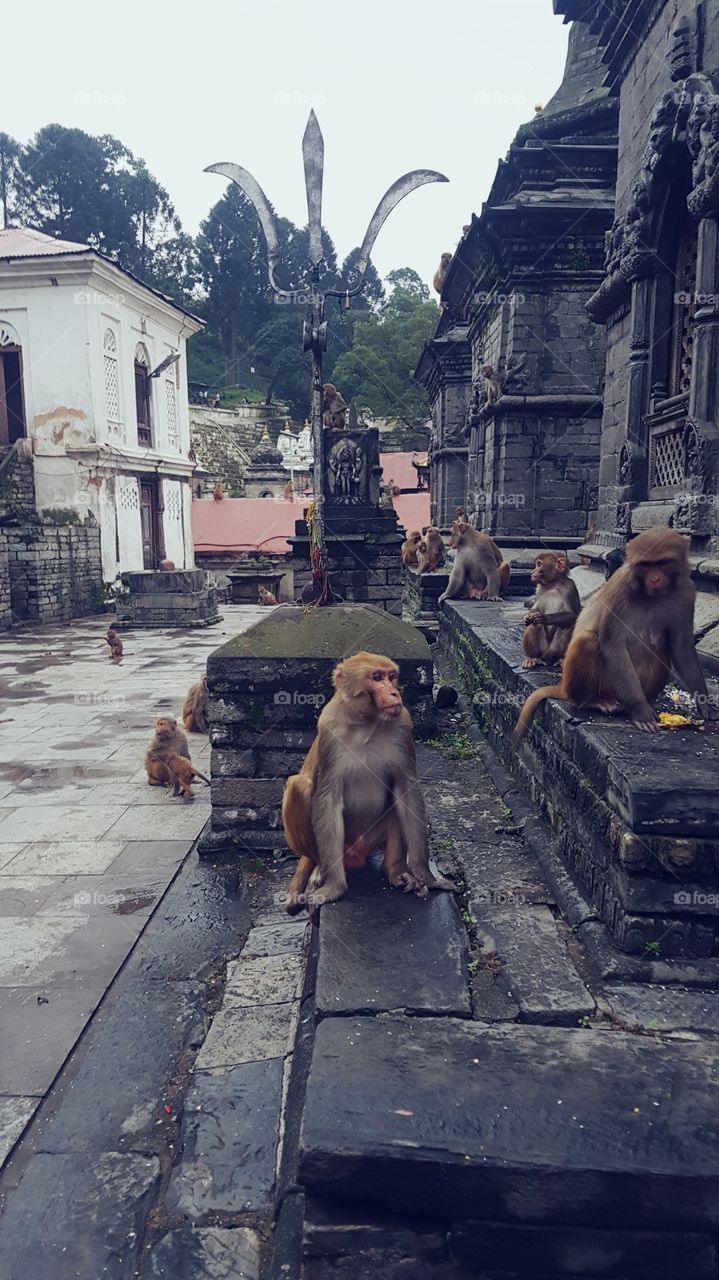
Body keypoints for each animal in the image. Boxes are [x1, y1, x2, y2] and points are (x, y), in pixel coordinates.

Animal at [281, 651, 455, 913]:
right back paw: (321, 868)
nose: (395, 693)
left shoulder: (403, 724)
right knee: (298, 786)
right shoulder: (328, 729)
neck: (366, 723)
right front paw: (335, 887)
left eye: (391, 677)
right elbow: (328, 797)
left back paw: (395, 870)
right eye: (376, 677)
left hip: (375, 837)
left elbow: (406, 789)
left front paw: (427, 877)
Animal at [513, 526, 717, 743]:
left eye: (662, 563)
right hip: (598, 684)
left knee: (662, 648)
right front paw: (641, 712)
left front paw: (705, 704)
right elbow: (612, 643)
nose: (655, 579)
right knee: (587, 640)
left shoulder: (686, 591)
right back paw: (593, 701)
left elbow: (681, 646)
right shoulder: (620, 589)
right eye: (645, 565)